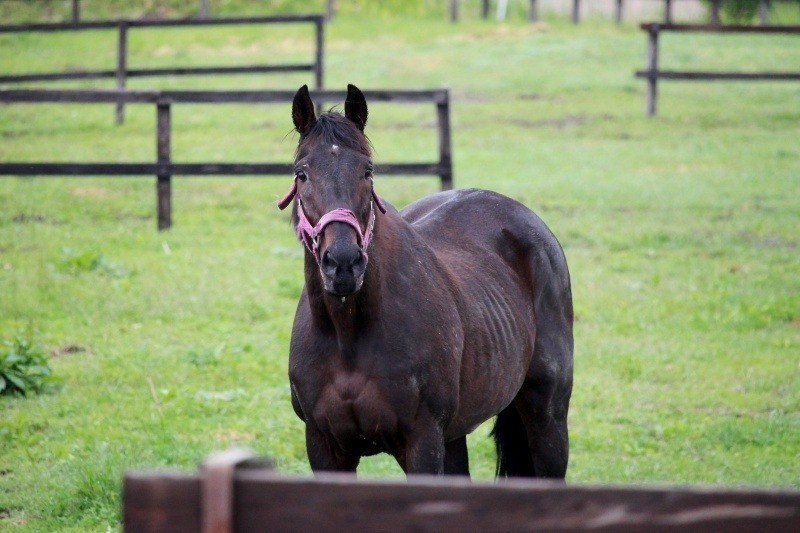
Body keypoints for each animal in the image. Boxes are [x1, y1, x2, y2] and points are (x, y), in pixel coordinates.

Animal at [278, 84, 572, 478]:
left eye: (368, 171)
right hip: (457, 435)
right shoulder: (324, 446)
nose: (342, 263)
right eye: (301, 174)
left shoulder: (423, 443)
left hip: (548, 418)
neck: (348, 335)